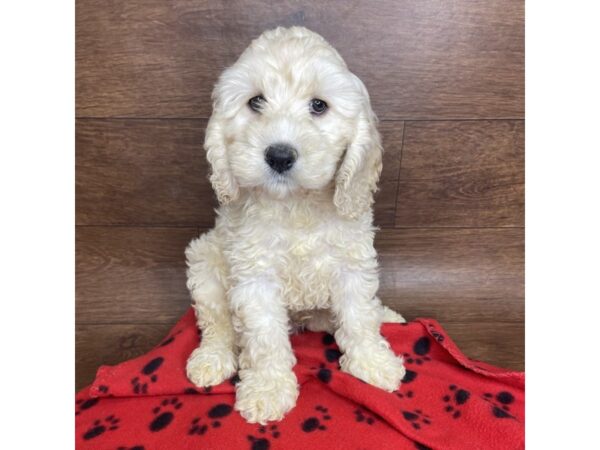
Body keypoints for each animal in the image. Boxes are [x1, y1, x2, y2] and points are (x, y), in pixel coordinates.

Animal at [185, 26, 406, 424]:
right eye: (256, 102)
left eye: (319, 105)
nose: (279, 155)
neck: (296, 204)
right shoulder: (255, 278)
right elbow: (264, 337)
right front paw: (268, 390)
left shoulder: (352, 262)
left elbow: (359, 316)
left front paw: (372, 362)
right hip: (205, 261)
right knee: (217, 323)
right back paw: (212, 358)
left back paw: (386, 315)